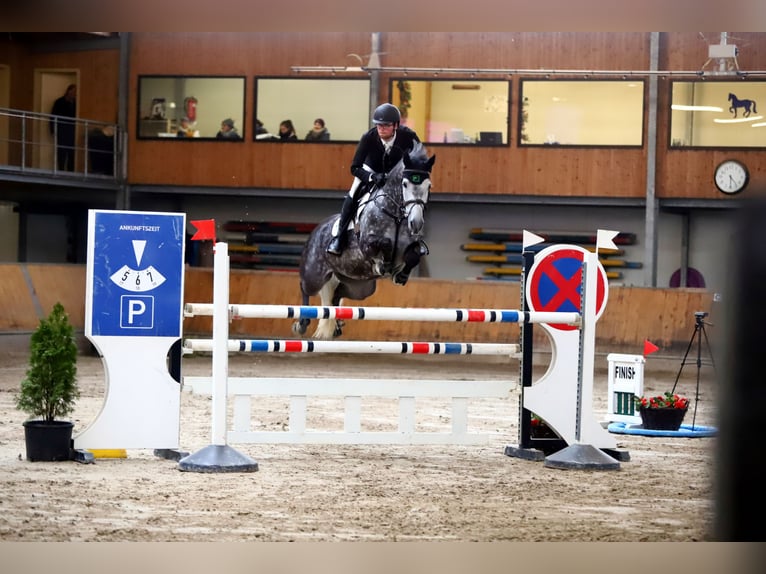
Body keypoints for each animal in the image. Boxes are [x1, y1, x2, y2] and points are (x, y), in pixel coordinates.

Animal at [294, 144, 436, 342]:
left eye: (428, 186)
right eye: (405, 184)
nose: (416, 223)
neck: (397, 216)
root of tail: (316, 230)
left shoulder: (410, 247)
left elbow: (413, 255)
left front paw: (400, 275)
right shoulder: (366, 245)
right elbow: (383, 244)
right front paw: (383, 265)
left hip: (359, 286)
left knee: (336, 296)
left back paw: (337, 326)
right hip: (315, 275)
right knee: (305, 288)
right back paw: (301, 323)